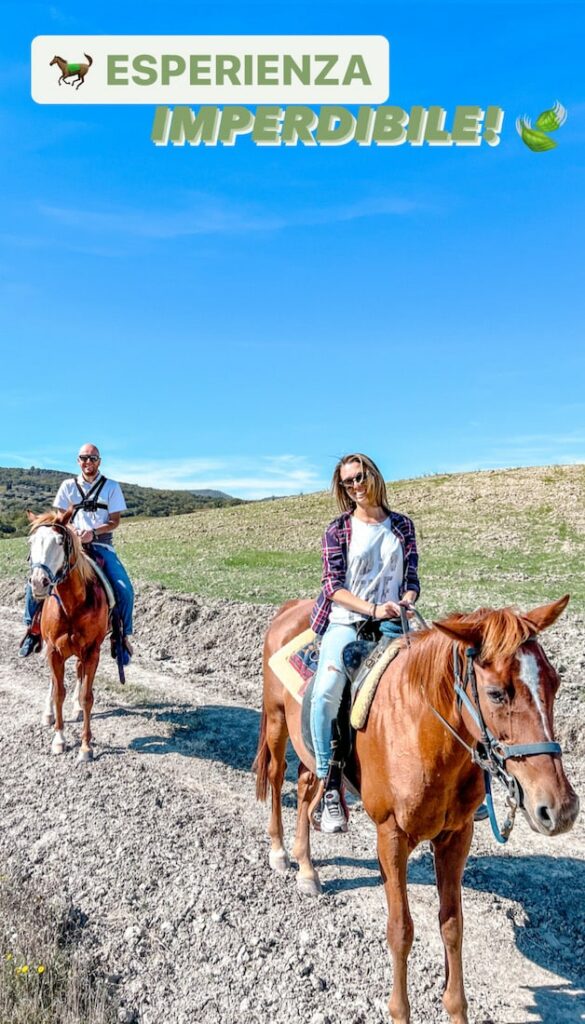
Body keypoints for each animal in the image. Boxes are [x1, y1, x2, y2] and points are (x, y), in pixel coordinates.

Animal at [27, 509, 108, 761]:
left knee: (79, 674)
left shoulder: (91, 651)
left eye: (59, 542)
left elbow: (87, 696)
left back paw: (77, 708)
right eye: (31, 542)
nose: (38, 583)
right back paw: (48, 714)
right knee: (54, 682)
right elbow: (58, 692)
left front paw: (85, 746)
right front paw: (59, 739)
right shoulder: (54, 651)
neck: (72, 604)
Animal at [256, 598, 581, 1024]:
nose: (561, 808)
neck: (423, 731)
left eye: (555, 683)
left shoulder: (456, 837)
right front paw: (400, 1011)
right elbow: (401, 929)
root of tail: (292, 607)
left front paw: (456, 1009)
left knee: (309, 785)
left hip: (310, 746)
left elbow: (452, 925)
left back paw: (307, 868)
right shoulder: (391, 836)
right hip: (278, 722)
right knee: (278, 779)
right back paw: (280, 853)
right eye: (496, 694)